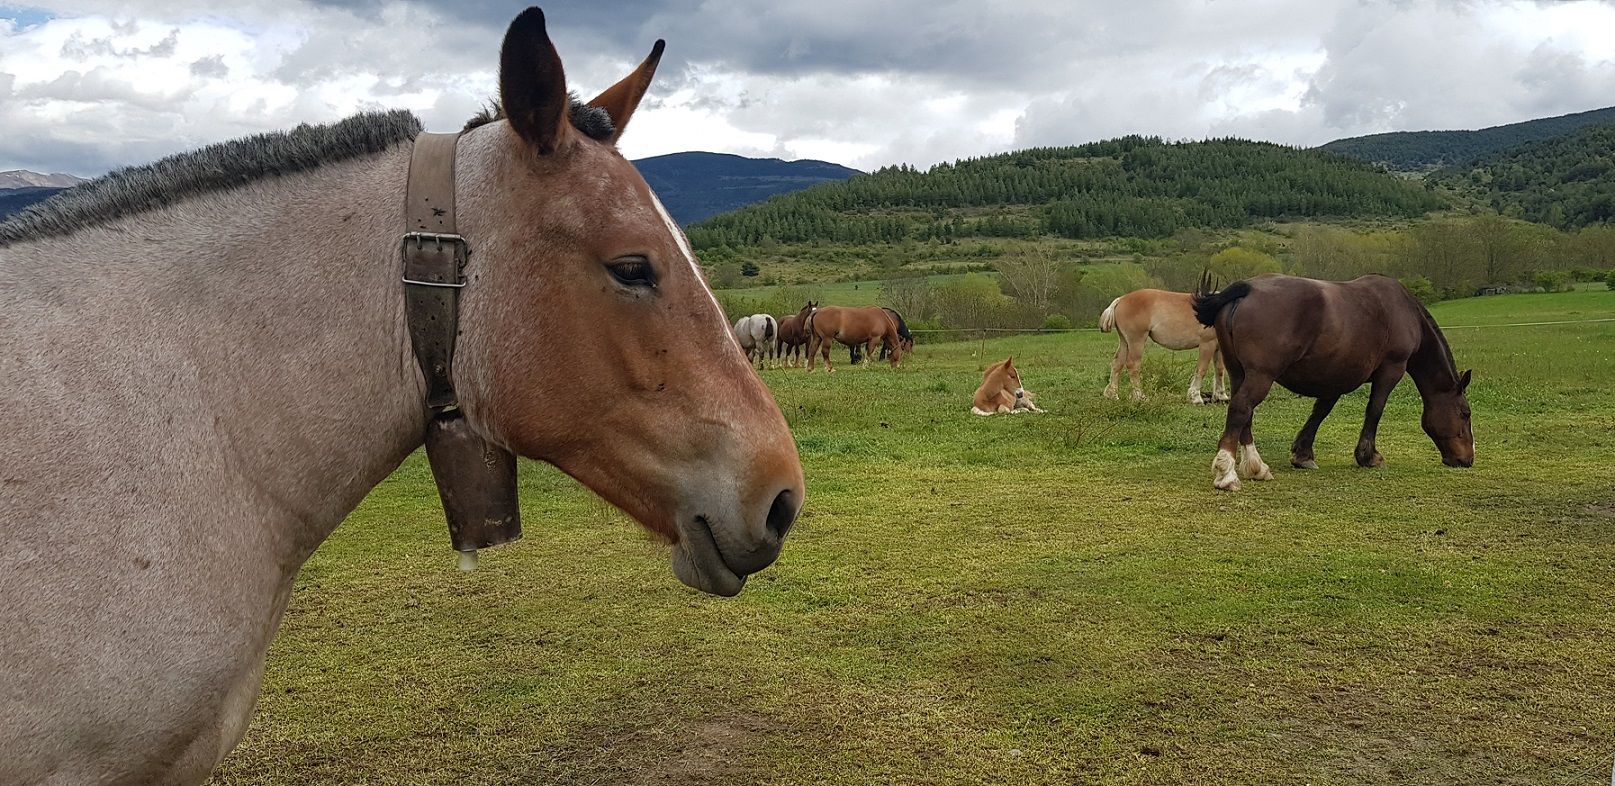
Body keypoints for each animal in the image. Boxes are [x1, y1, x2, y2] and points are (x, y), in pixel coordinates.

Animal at [1188, 274, 1479, 490]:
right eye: (1465, 413)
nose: (1467, 459)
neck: (1402, 310)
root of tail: (1247, 289)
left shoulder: (1334, 378)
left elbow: (1320, 412)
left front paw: (1303, 454)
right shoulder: (1391, 370)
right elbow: (1374, 410)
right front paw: (1368, 456)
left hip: (1239, 374)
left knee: (1244, 414)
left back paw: (1256, 467)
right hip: (1260, 376)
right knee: (1241, 409)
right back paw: (1227, 473)